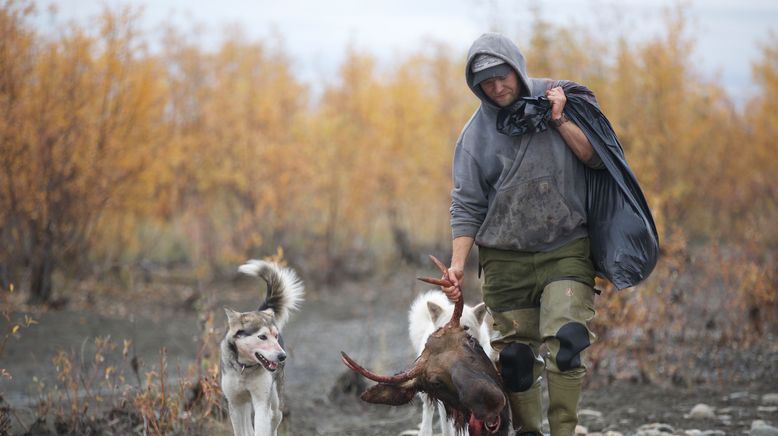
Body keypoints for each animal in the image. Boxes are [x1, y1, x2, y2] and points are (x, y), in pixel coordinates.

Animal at [220, 260, 304, 434]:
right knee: (248, 428)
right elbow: (242, 431)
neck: (244, 369)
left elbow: (261, 428)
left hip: (276, 406)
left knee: (274, 423)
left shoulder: (261, 403)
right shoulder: (235, 404)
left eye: (275, 336)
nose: (282, 356)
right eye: (262, 336)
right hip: (245, 404)